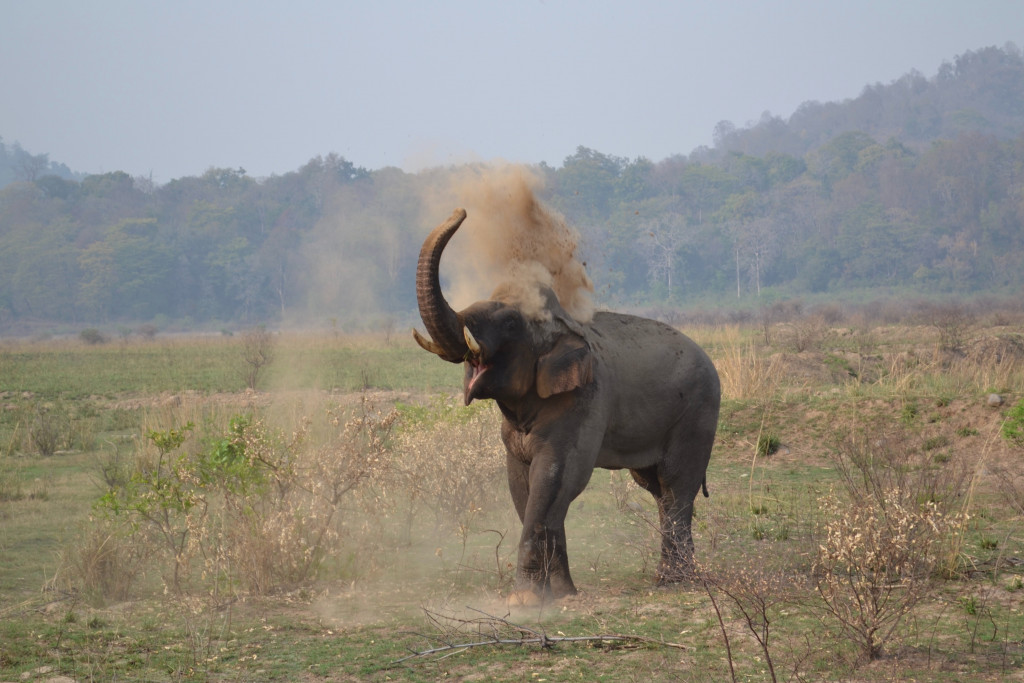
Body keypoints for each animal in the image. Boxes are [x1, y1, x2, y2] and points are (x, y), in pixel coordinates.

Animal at [413, 208, 720, 603]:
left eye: (510, 322)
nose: (461, 210)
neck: (562, 325)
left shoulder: (583, 403)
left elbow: (556, 479)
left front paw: (526, 600)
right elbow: (523, 486)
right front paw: (560, 594)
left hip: (698, 412)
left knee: (677, 484)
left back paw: (674, 581)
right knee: (657, 489)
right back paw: (669, 577)